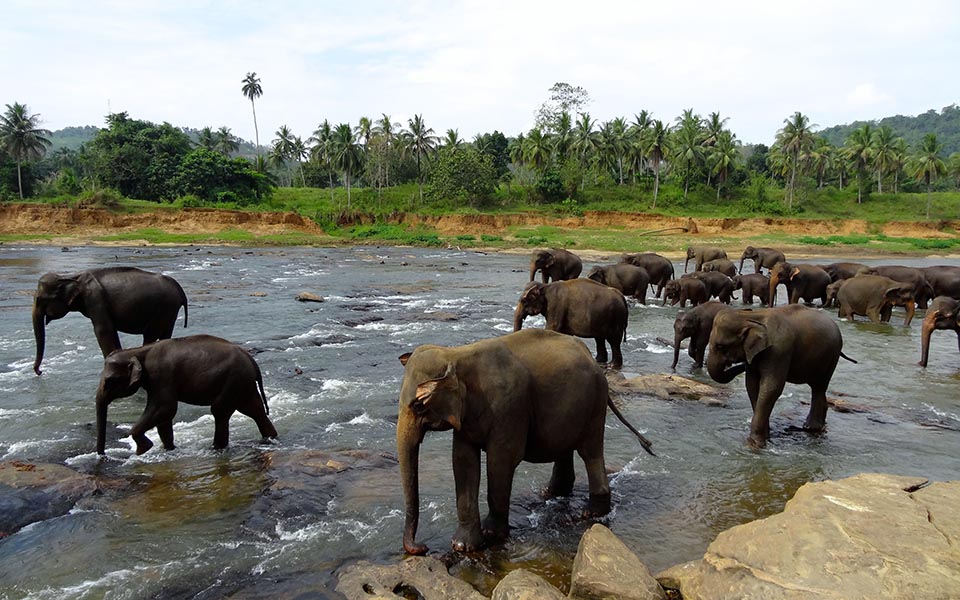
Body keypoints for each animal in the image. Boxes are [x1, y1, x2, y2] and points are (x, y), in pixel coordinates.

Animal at [32, 267, 188, 375]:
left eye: (39, 299)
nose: (40, 372)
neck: (68, 276)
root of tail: (180, 291)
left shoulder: (95, 299)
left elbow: (103, 330)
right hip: (169, 311)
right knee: (165, 334)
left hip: (163, 308)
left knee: (150, 335)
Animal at [95, 335, 278, 455]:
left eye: (110, 380)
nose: (102, 455)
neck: (139, 351)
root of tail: (251, 359)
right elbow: (164, 417)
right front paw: (168, 449)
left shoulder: (161, 376)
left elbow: (166, 408)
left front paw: (142, 450)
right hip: (242, 383)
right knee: (254, 410)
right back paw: (270, 438)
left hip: (234, 379)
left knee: (220, 410)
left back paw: (215, 448)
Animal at [396, 329, 653, 554]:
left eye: (418, 405)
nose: (422, 547)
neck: (456, 355)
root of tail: (591, 359)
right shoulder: (466, 417)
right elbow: (463, 462)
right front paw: (463, 546)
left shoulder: (509, 406)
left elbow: (501, 461)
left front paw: (491, 534)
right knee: (565, 447)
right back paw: (551, 493)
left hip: (594, 405)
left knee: (590, 452)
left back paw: (591, 514)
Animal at [706, 305, 854, 448]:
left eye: (720, 346)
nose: (734, 365)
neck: (750, 317)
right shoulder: (754, 356)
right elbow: (752, 385)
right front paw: (766, 435)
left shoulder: (779, 351)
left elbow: (772, 388)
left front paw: (756, 443)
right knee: (818, 388)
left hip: (832, 355)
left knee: (819, 386)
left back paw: (810, 427)